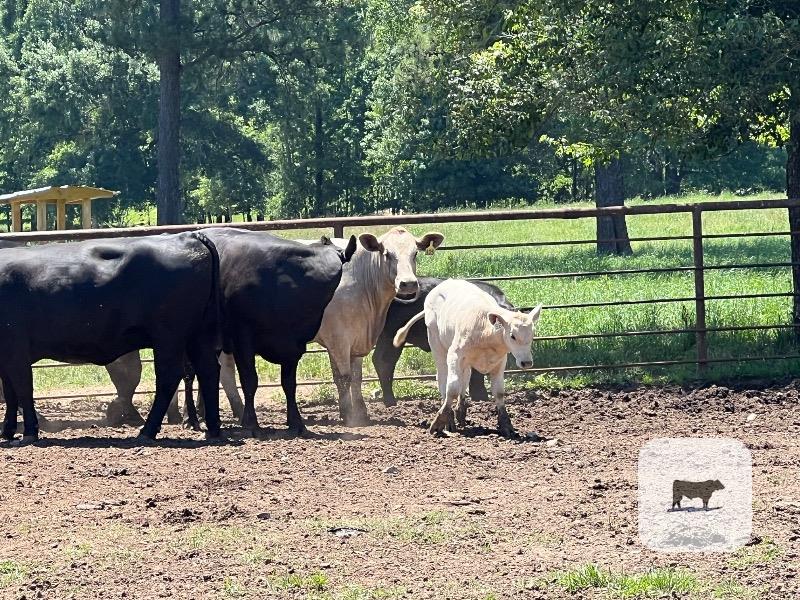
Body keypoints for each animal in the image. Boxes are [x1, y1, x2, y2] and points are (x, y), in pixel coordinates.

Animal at [0, 232, 222, 443]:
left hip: (169, 336)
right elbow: (10, 393)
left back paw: (147, 431)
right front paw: (7, 432)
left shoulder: (16, 350)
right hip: (199, 334)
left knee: (169, 376)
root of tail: (188, 236)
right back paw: (213, 429)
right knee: (208, 370)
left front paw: (29, 432)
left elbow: (22, 390)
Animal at [313, 226, 444, 425]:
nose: (408, 284)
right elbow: (343, 377)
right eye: (387, 254)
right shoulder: (338, 338)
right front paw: (349, 416)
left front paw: (361, 412)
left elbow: (356, 377)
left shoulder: (356, 337)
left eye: (415, 253)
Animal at [393, 279, 542, 437]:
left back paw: (460, 411)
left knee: (465, 377)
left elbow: (499, 392)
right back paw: (450, 418)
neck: (486, 331)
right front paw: (441, 420)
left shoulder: (499, 362)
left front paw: (506, 425)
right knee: (443, 378)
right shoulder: (455, 355)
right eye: (512, 335)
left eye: (532, 334)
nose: (526, 362)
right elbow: (452, 388)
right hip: (436, 343)